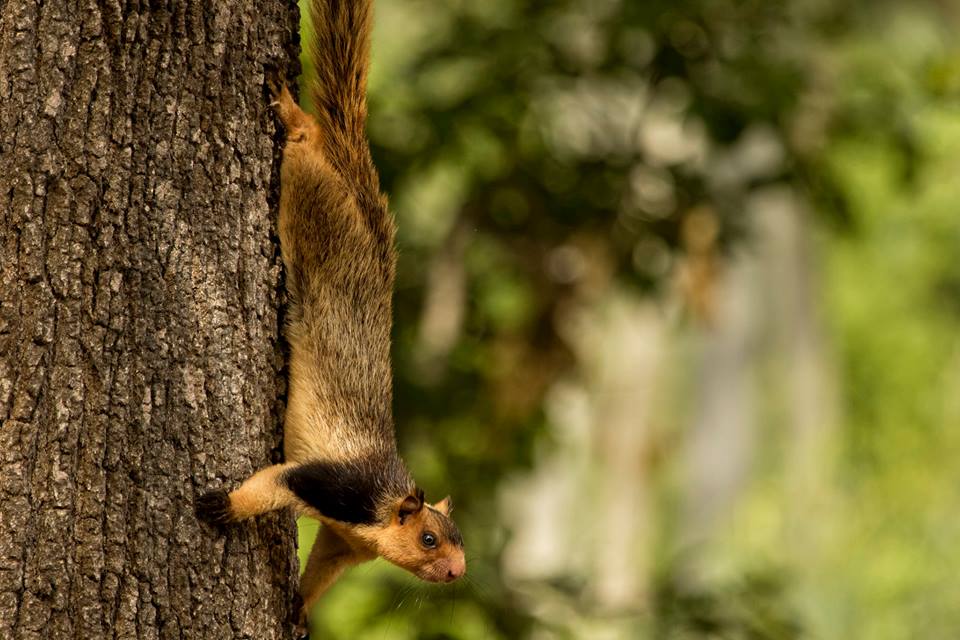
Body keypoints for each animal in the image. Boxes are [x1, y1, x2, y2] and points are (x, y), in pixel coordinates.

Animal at [195, 0, 464, 624]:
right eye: (429, 539)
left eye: (459, 538)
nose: (458, 572)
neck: (383, 509)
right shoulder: (334, 487)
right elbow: (273, 483)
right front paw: (227, 507)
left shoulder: (345, 541)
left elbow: (322, 568)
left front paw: (299, 608)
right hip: (310, 198)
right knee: (305, 141)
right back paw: (291, 112)